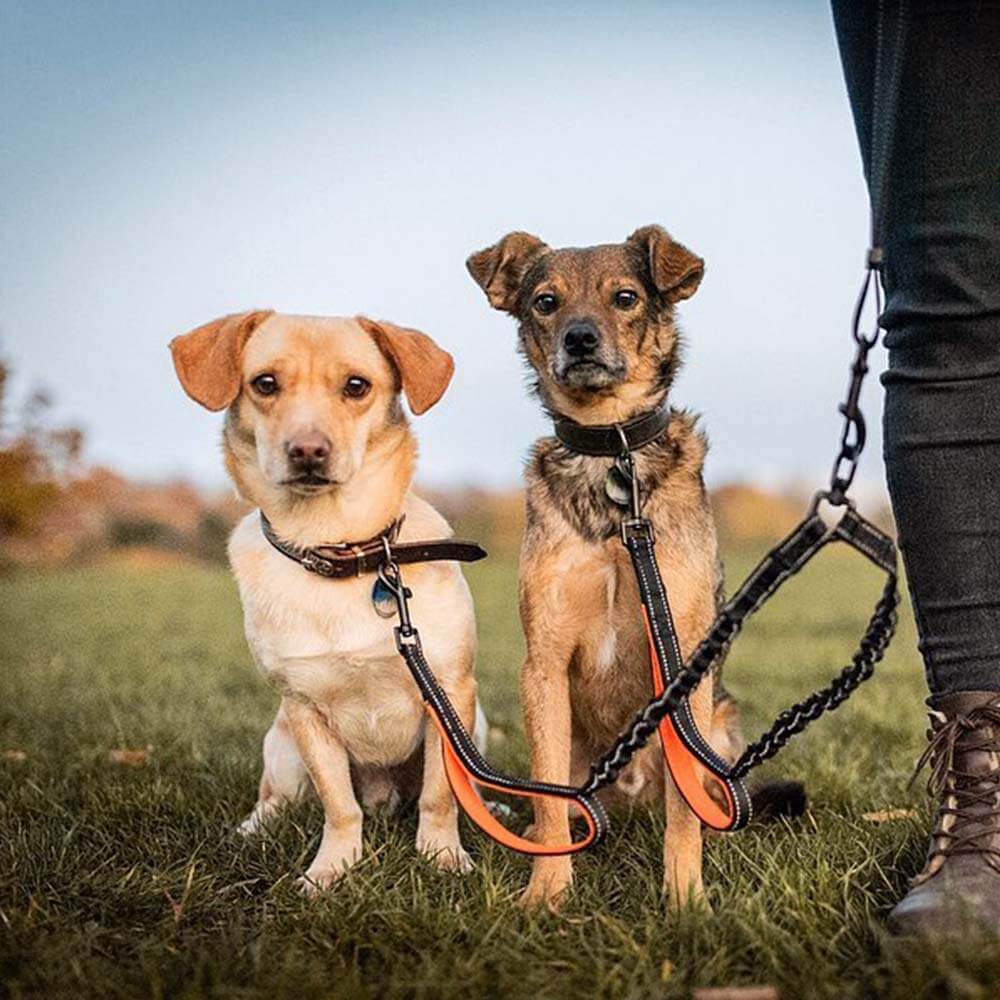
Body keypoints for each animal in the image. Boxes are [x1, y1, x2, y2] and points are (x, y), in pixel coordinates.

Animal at [170, 312, 482, 892]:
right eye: (265, 383)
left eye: (356, 386)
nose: (309, 450)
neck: (338, 546)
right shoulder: (305, 709)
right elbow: (339, 805)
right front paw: (332, 870)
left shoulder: (449, 694)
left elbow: (439, 795)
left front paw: (443, 856)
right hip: (283, 746)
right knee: (275, 798)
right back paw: (251, 829)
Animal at [468, 225, 804, 908]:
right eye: (545, 302)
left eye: (625, 297)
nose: (579, 338)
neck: (610, 455)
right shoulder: (543, 662)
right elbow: (548, 803)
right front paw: (546, 894)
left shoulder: (685, 667)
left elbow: (684, 812)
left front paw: (685, 898)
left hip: (719, 723)